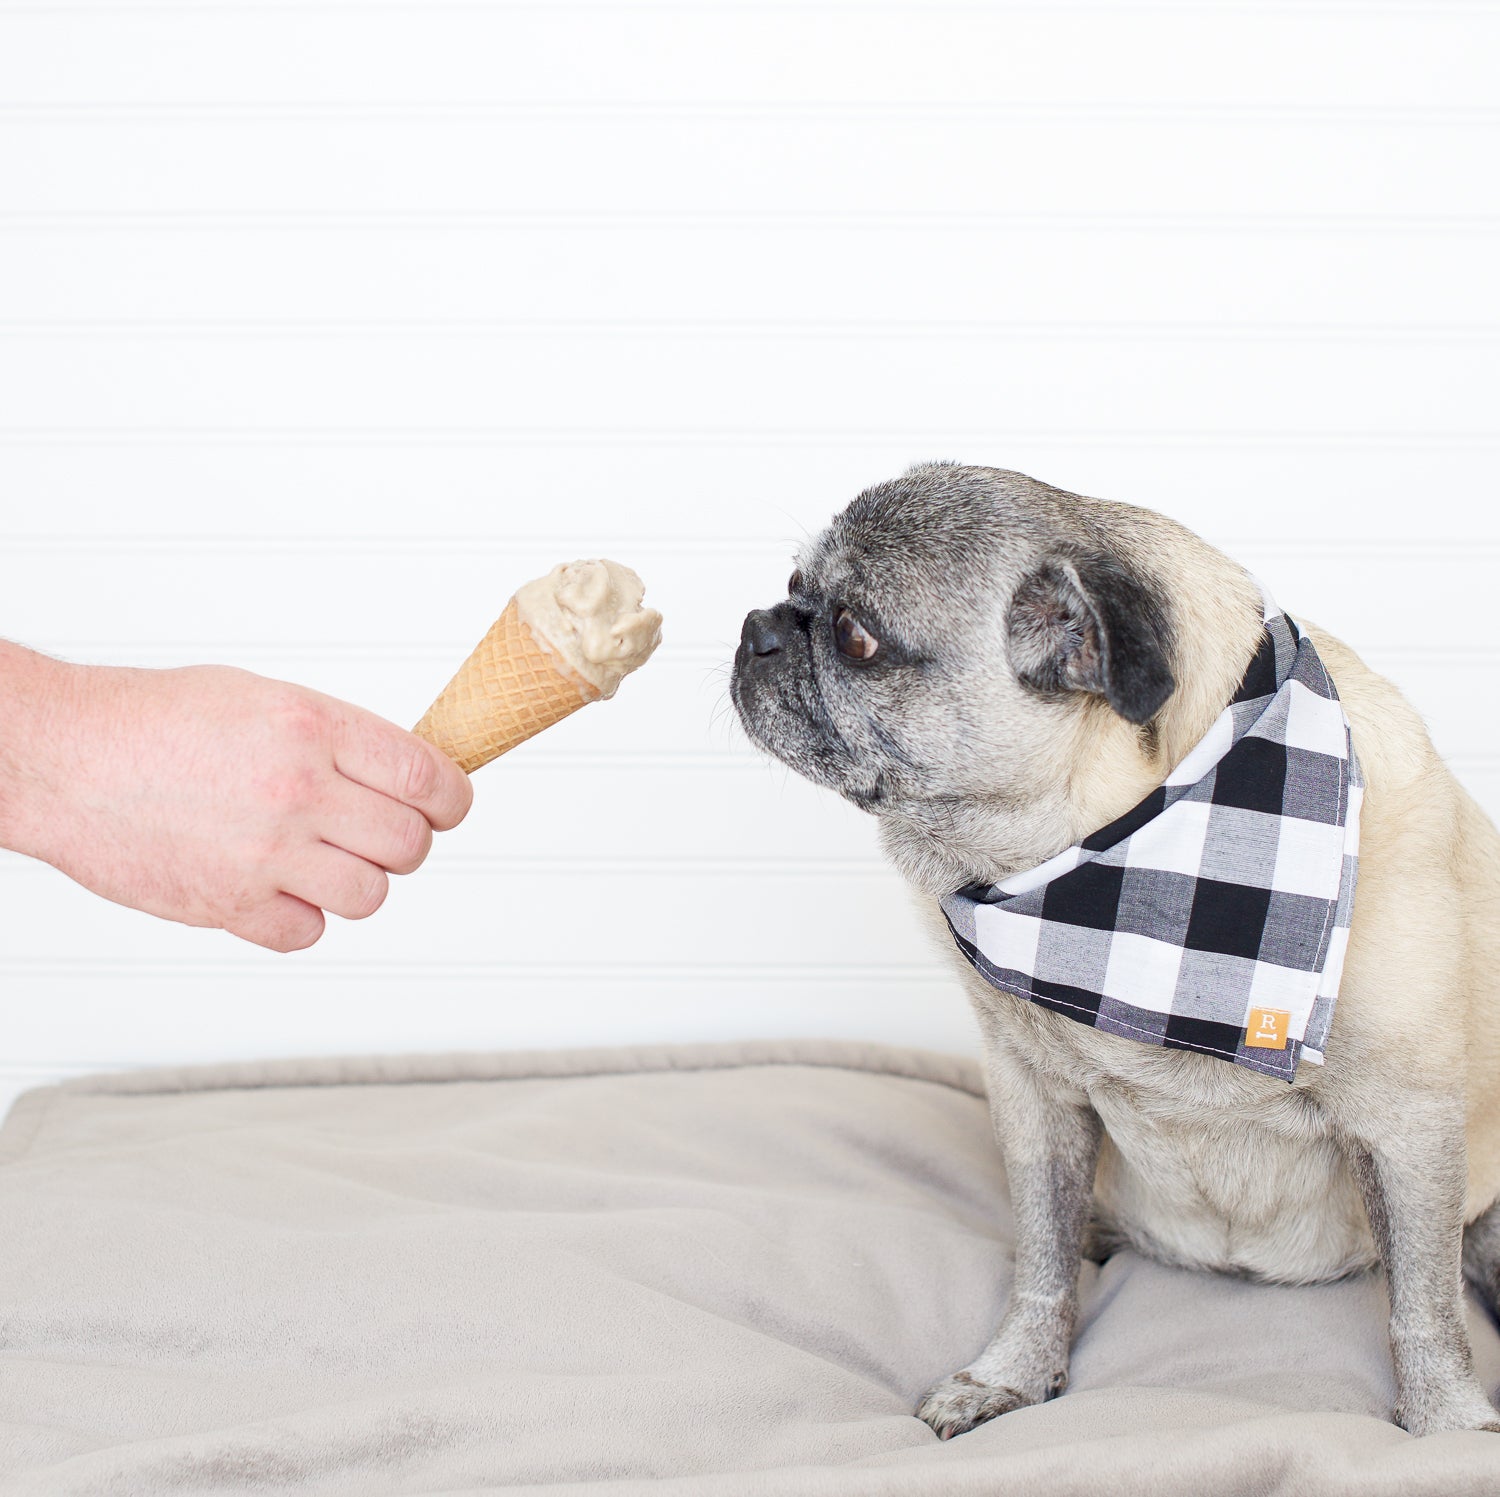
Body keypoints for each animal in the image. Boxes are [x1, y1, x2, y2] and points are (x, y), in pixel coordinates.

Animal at [732, 465, 1500, 1440]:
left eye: (854, 635)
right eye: (794, 586)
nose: (757, 628)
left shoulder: (1410, 1127)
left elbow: (1425, 1304)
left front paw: (1445, 1421)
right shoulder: (1035, 1100)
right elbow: (1041, 1260)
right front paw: (1013, 1372)